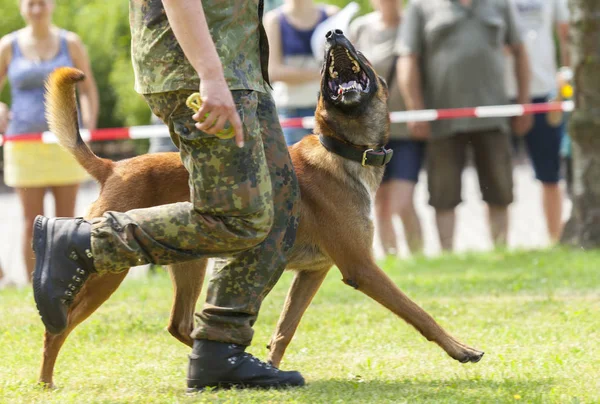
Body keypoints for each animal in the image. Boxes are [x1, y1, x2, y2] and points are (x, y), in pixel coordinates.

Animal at [38, 30, 482, 386]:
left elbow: (285, 328)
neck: (341, 150)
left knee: (181, 324)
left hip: (191, 262)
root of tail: (114, 166)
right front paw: (460, 349)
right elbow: (418, 312)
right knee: (59, 326)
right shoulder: (362, 267)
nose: (333, 33)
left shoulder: (313, 273)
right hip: (111, 275)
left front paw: (271, 367)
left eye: (356, 47)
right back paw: (46, 376)